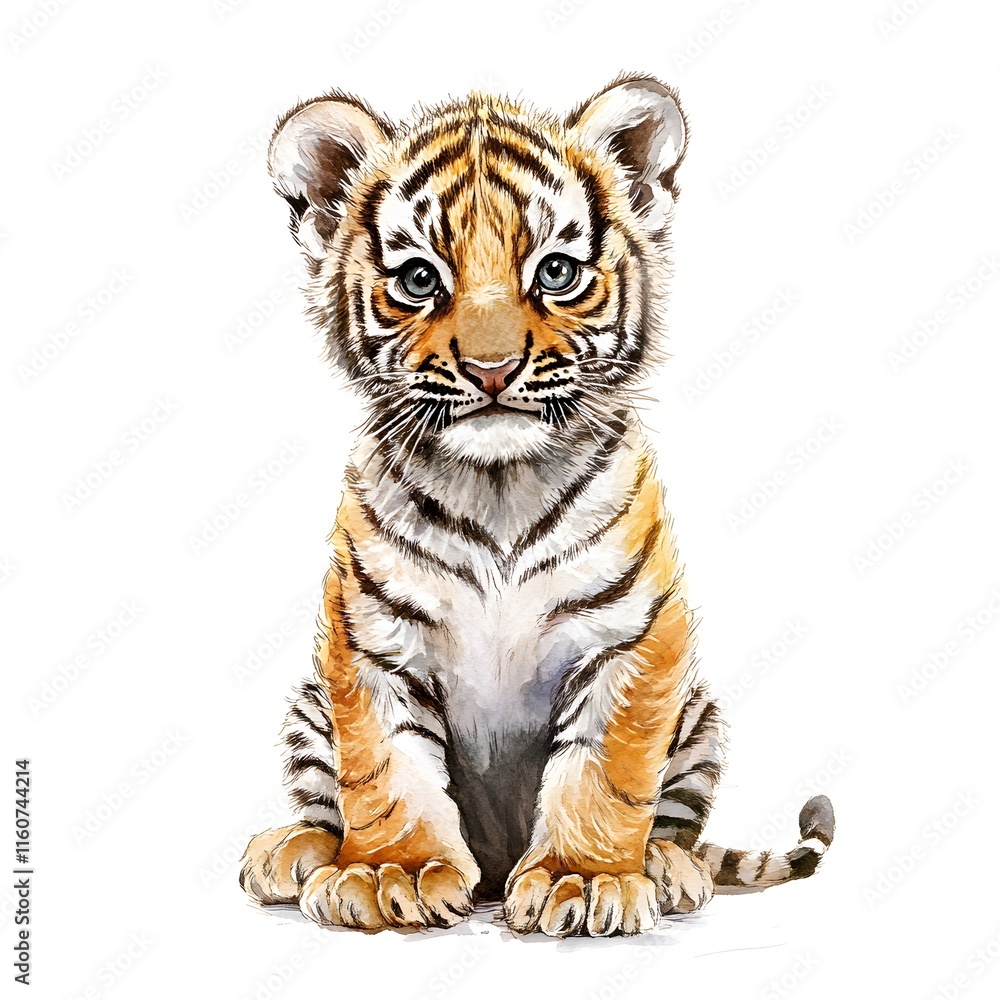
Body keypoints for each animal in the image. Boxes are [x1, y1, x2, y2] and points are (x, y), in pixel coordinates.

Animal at [239, 75, 835, 937]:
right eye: (419, 280)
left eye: (555, 272)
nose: (492, 369)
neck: (498, 488)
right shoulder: (372, 641)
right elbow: (385, 765)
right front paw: (393, 871)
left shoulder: (632, 637)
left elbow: (604, 772)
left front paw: (584, 881)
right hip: (311, 705)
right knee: (328, 803)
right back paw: (296, 851)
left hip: (697, 716)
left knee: (674, 822)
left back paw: (667, 868)